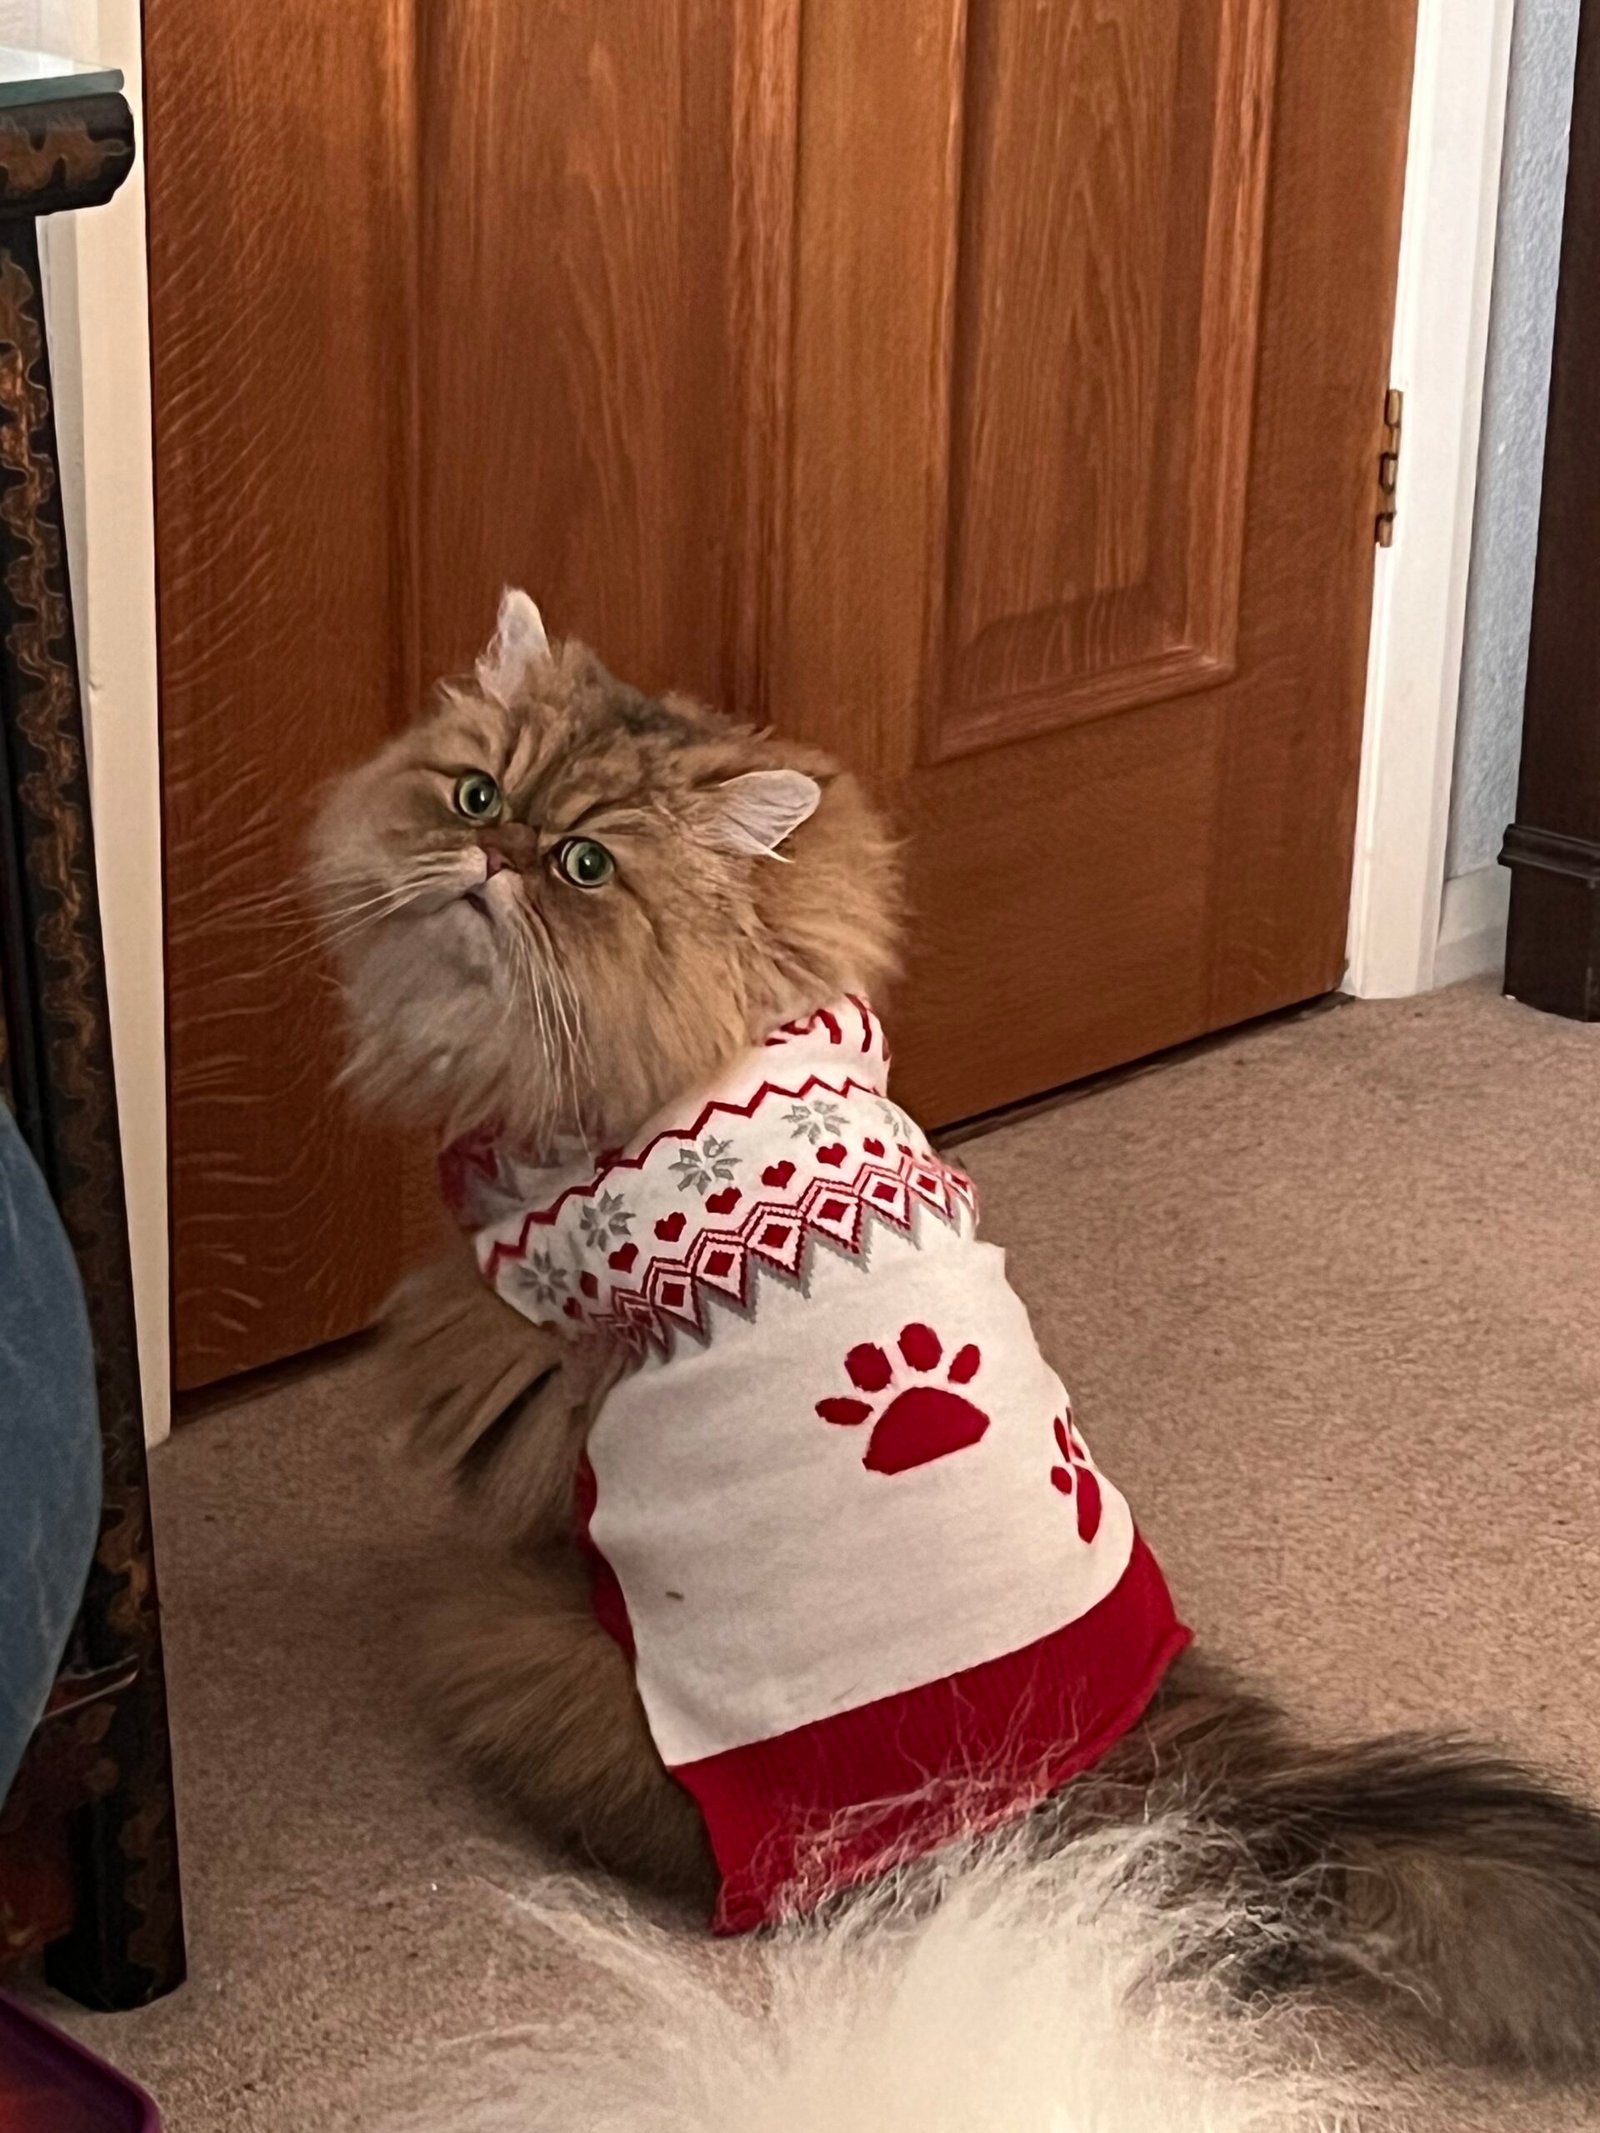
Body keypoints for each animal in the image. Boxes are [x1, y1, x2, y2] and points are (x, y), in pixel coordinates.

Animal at [313, 592, 1600, 2073]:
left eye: (582, 862)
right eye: (477, 792)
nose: (490, 852)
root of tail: (1176, 1780)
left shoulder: (519, 1332)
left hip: (515, 1648)